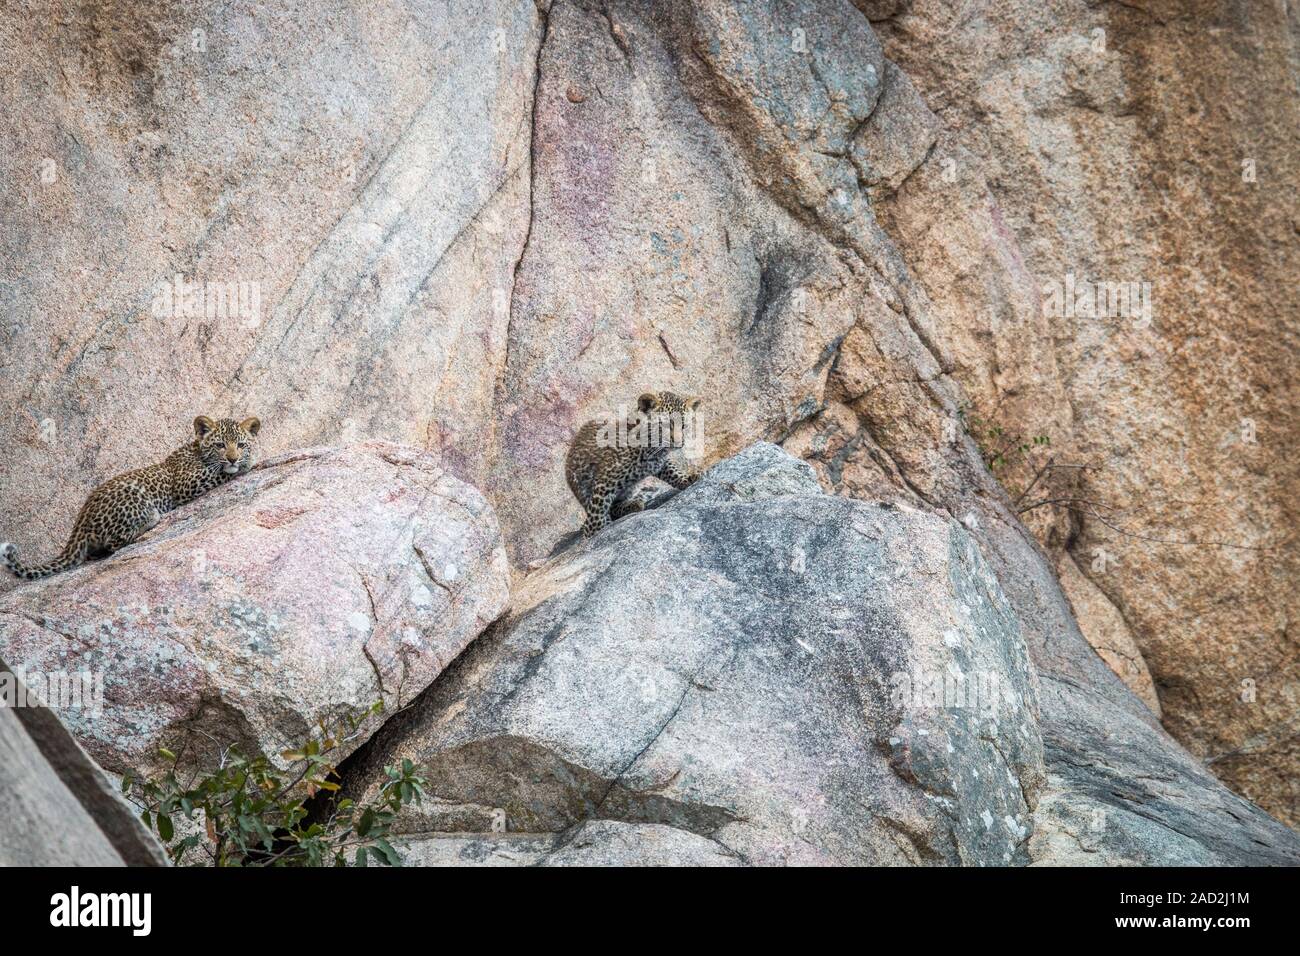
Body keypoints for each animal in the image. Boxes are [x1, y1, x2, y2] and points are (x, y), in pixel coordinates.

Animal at [2, 415, 261, 581]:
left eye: (241, 444)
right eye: (220, 445)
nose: (233, 458)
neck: (196, 449)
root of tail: (80, 523)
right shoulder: (185, 483)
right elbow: (218, 473)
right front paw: (246, 464)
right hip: (132, 496)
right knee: (114, 543)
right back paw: (149, 522)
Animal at [565, 391, 703, 537]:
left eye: (684, 426)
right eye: (665, 425)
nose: (678, 443)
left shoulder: (659, 462)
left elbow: (672, 472)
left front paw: (687, 479)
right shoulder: (605, 480)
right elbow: (598, 509)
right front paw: (594, 532)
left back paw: (632, 504)